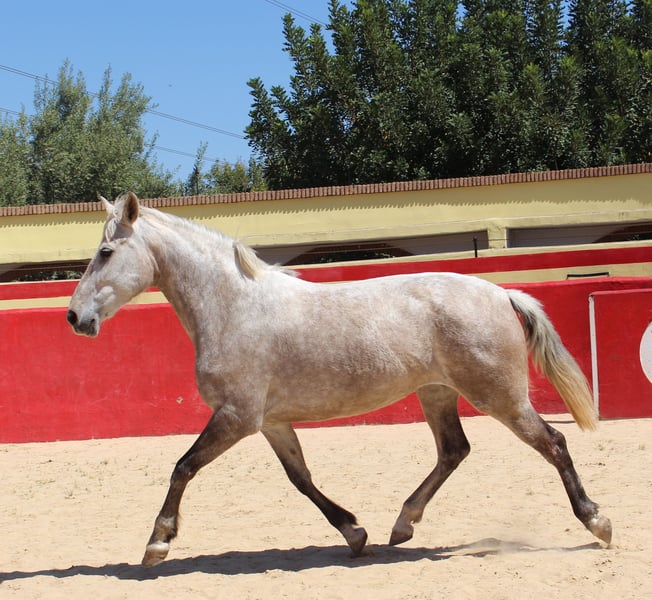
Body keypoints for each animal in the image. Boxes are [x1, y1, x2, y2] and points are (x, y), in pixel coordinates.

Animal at [66, 192, 612, 567]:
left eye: (107, 252)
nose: (75, 317)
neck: (236, 307)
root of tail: (501, 293)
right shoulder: (269, 422)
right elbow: (301, 479)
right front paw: (355, 533)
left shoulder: (236, 417)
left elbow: (183, 467)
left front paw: (157, 542)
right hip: (437, 393)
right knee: (454, 451)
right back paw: (402, 526)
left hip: (499, 397)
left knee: (554, 443)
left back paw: (598, 521)